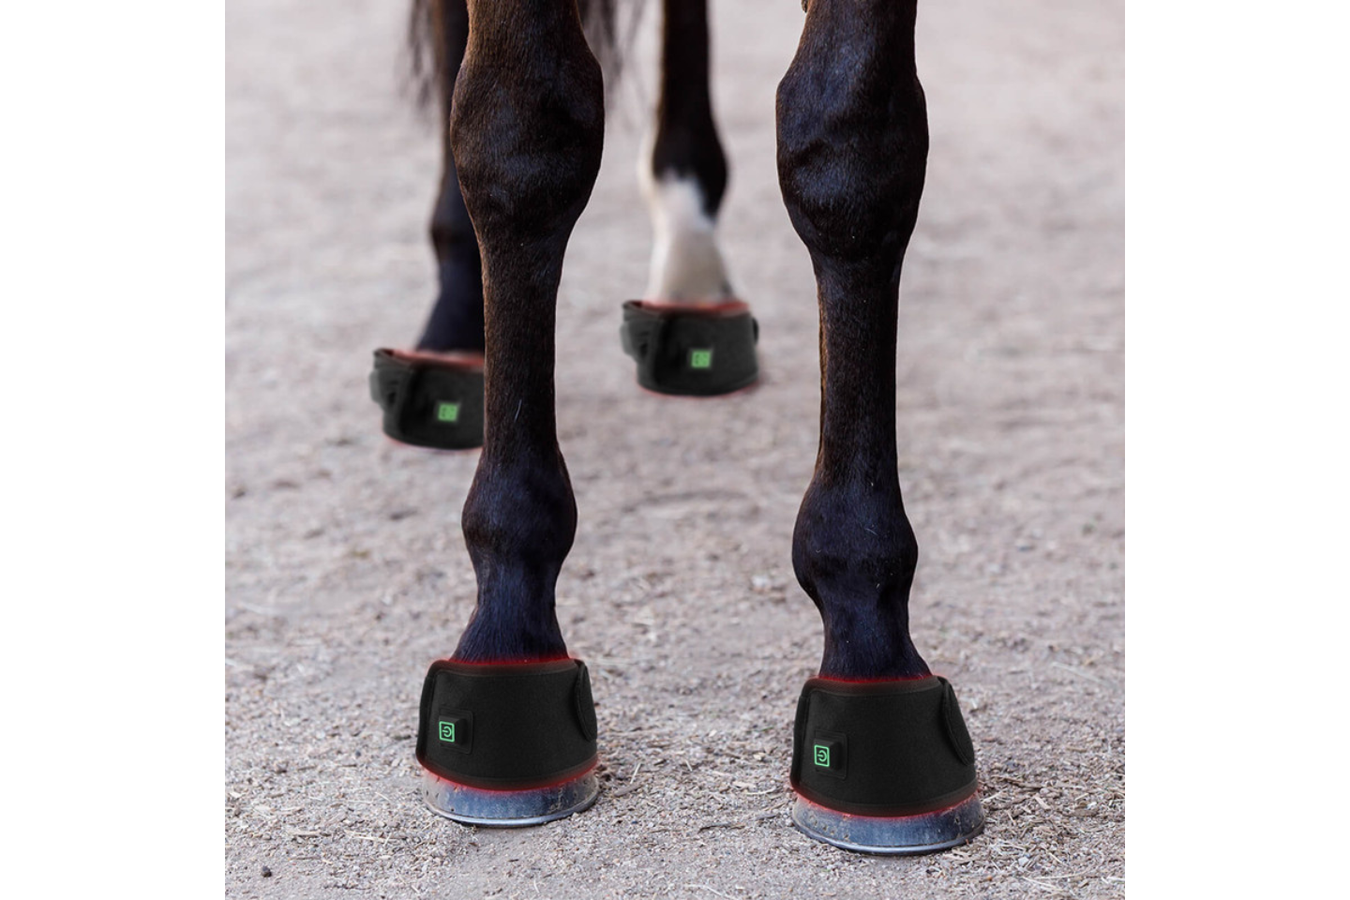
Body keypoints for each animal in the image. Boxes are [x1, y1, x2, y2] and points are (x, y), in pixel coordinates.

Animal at [376, 0, 984, 854]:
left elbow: (853, 150)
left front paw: (869, 639)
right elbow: (520, 135)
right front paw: (507, 631)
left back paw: (693, 281)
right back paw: (453, 330)